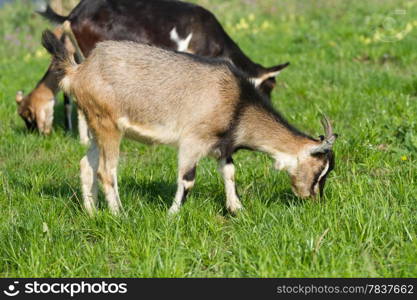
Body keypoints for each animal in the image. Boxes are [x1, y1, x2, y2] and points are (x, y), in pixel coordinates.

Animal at [40, 29, 336, 216]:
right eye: (319, 170)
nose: (314, 200)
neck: (238, 102)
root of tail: (78, 71)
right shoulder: (193, 142)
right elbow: (187, 179)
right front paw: (172, 214)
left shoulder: (222, 146)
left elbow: (229, 172)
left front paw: (236, 209)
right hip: (108, 125)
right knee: (106, 171)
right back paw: (119, 214)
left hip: (95, 126)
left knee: (86, 165)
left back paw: (91, 213)